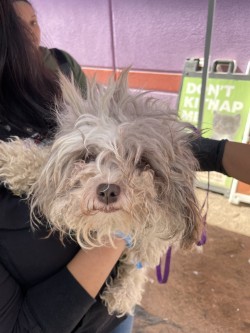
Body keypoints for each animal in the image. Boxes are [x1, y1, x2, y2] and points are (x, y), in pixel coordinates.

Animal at [0, 70, 201, 314]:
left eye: (142, 162)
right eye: (87, 157)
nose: (107, 191)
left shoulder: (157, 234)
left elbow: (140, 261)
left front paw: (124, 293)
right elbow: (38, 161)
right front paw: (8, 156)